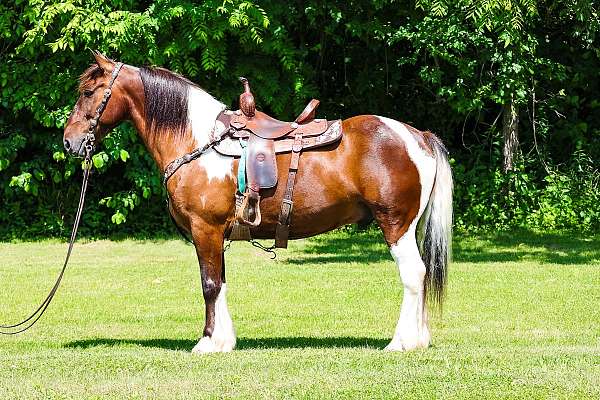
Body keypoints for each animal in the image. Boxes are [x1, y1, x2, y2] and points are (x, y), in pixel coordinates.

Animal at [64, 53, 450, 354]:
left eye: (87, 92)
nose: (69, 142)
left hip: (396, 225)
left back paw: (401, 342)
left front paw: (206, 342)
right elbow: (220, 283)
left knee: (413, 275)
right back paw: (419, 339)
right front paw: (224, 341)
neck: (197, 140)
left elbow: (208, 284)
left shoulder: (205, 229)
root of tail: (418, 135)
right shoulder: (215, 234)